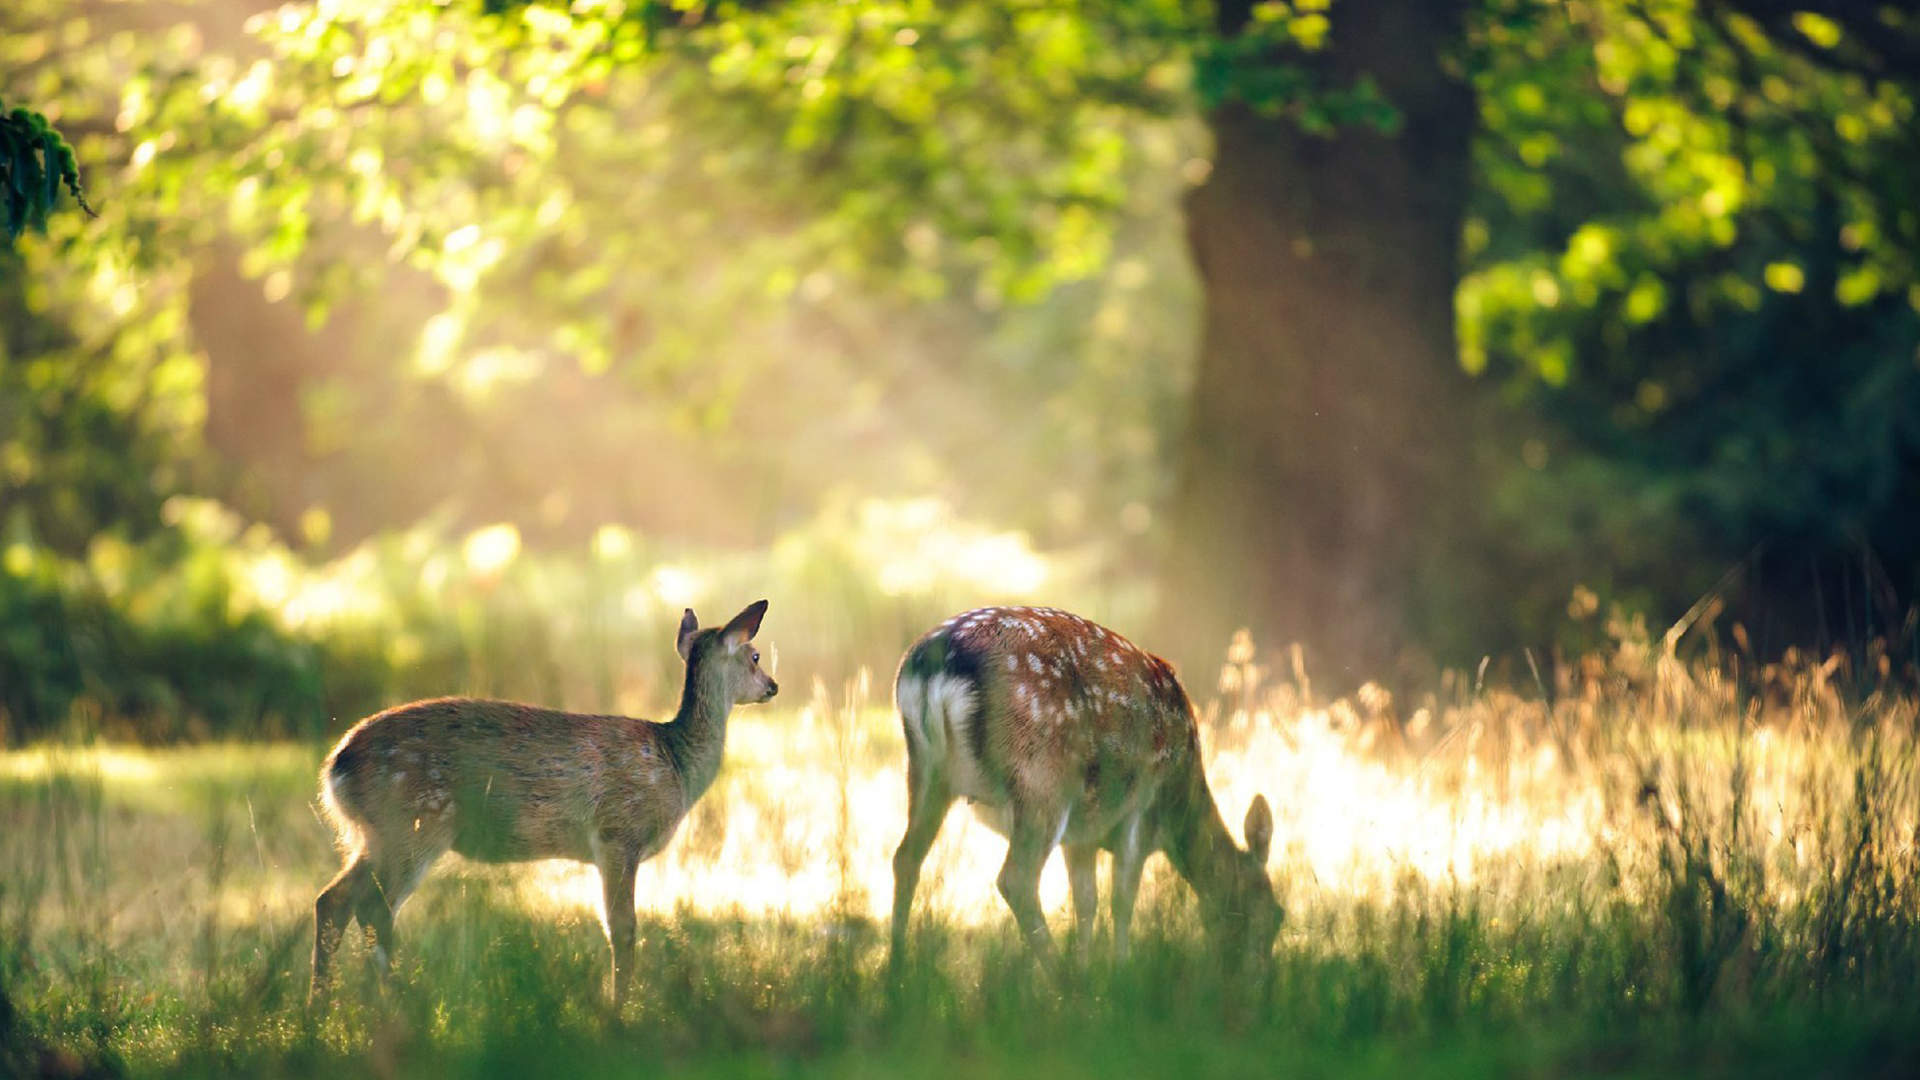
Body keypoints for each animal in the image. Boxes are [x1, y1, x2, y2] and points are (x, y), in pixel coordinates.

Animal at [310, 600, 776, 1004]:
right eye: (754, 655)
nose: (773, 685)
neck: (675, 761)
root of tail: (335, 769)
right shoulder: (618, 833)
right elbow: (623, 930)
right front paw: (621, 1011)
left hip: (376, 835)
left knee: (333, 901)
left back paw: (323, 1011)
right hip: (414, 822)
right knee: (373, 906)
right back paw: (391, 1005)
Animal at [889, 606, 1280, 979]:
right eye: (1273, 915)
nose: (1260, 979)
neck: (1179, 801)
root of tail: (934, 663)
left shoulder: (1082, 836)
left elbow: (1086, 903)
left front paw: (1089, 966)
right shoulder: (1141, 807)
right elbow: (1121, 901)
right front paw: (1119, 974)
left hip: (926, 771)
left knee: (905, 859)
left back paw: (897, 975)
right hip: (1042, 780)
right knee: (1016, 879)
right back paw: (1065, 982)